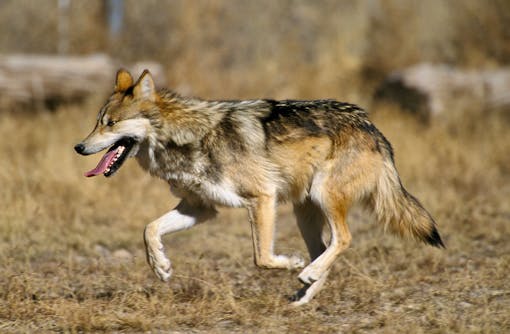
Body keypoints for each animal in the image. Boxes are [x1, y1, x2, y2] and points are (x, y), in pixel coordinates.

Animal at [73, 70, 444, 306]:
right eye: (96, 122)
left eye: (111, 124)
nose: (78, 147)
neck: (186, 137)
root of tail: (372, 126)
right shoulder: (200, 208)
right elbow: (149, 229)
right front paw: (160, 266)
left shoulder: (261, 198)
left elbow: (262, 258)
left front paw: (290, 263)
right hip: (304, 212)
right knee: (325, 248)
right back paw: (303, 295)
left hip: (322, 197)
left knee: (343, 239)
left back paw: (305, 273)